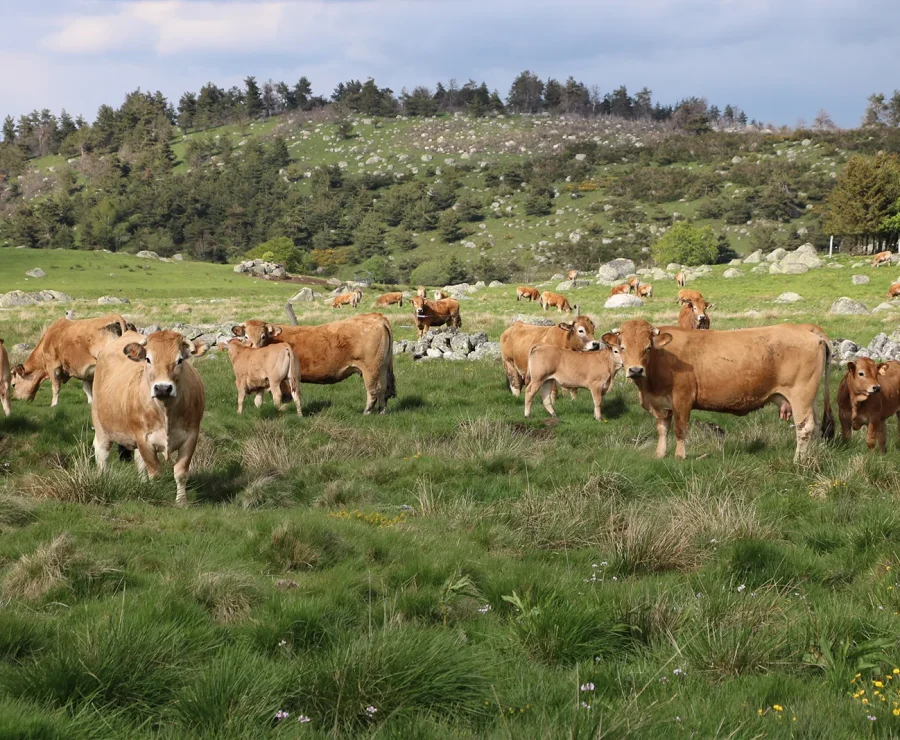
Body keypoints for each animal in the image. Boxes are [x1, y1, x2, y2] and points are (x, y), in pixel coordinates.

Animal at [91, 330, 207, 505]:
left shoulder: (191, 436)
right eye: (148, 359)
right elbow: (156, 472)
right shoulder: (143, 438)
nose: (163, 388)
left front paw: (181, 502)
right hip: (101, 426)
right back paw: (102, 480)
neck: (165, 410)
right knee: (102, 454)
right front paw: (157, 495)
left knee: (139, 462)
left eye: (180, 360)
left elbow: (180, 472)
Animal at [232, 313, 395, 414]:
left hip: (370, 369)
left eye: (263, 336)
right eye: (246, 336)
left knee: (373, 390)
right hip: (382, 367)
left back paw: (366, 412)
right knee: (383, 389)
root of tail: (375, 317)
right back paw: (381, 412)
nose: (255, 349)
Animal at [604, 319, 833, 463]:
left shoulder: (682, 399)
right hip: (810, 398)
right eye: (622, 348)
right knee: (815, 426)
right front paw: (660, 454)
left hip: (801, 394)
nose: (635, 370)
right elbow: (662, 429)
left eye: (648, 347)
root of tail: (804, 327)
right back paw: (814, 455)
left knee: (804, 428)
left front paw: (679, 456)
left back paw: (798, 461)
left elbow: (679, 429)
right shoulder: (661, 403)